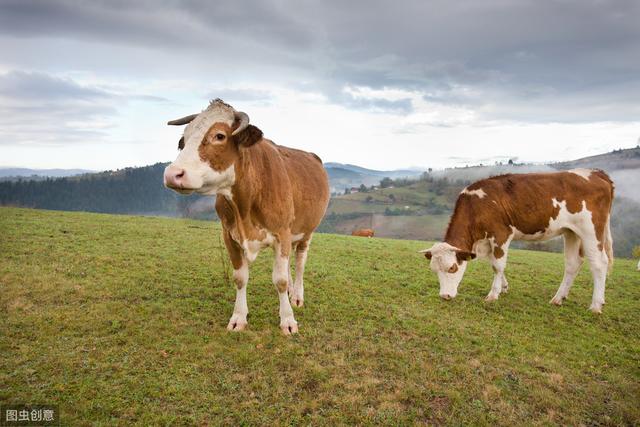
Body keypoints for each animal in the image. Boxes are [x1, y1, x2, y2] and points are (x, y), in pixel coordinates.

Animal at [162, 99, 330, 334]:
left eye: (220, 136)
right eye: (183, 140)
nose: (172, 174)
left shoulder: (282, 232)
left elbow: (279, 280)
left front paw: (288, 320)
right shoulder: (229, 235)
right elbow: (240, 278)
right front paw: (238, 318)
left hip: (307, 231)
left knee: (299, 261)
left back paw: (296, 296)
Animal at [420, 171, 616, 314]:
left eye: (452, 268)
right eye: (434, 270)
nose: (444, 296)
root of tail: (595, 173)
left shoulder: (501, 234)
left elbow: (497, 266)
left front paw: (493, 294)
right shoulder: (488, 241)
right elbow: (494, 263)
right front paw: (504, 287)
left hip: (591, 230)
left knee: (599, 263)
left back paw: (596, 305)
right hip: (571, 232)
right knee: (573, 263)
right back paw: (558, 299)